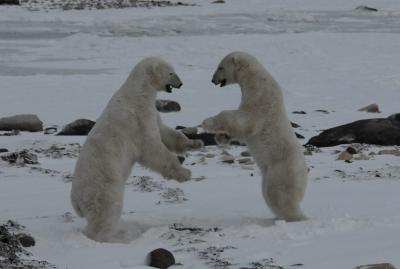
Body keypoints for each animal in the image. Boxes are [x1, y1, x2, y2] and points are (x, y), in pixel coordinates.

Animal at [69, 57, 203, 241]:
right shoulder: (138, 119)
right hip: (103, 185)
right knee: (106, 211)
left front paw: (195, 143)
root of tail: (76, 201)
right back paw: (119, 237)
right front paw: (185, 173)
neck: (137, 93)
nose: (181, 83)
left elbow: (164, 131)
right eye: (171, 73)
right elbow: (152, 149)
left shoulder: (151, 113)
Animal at [202, 51, 308, 221]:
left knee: (278, 194)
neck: (255, 77)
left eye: (220, 67)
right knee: (268, 193)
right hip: (269, 173)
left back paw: (295, 216)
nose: (213, 80)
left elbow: (244, 119)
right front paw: (221, 138)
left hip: (281, 170)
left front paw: (207, 122)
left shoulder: (261, 97)